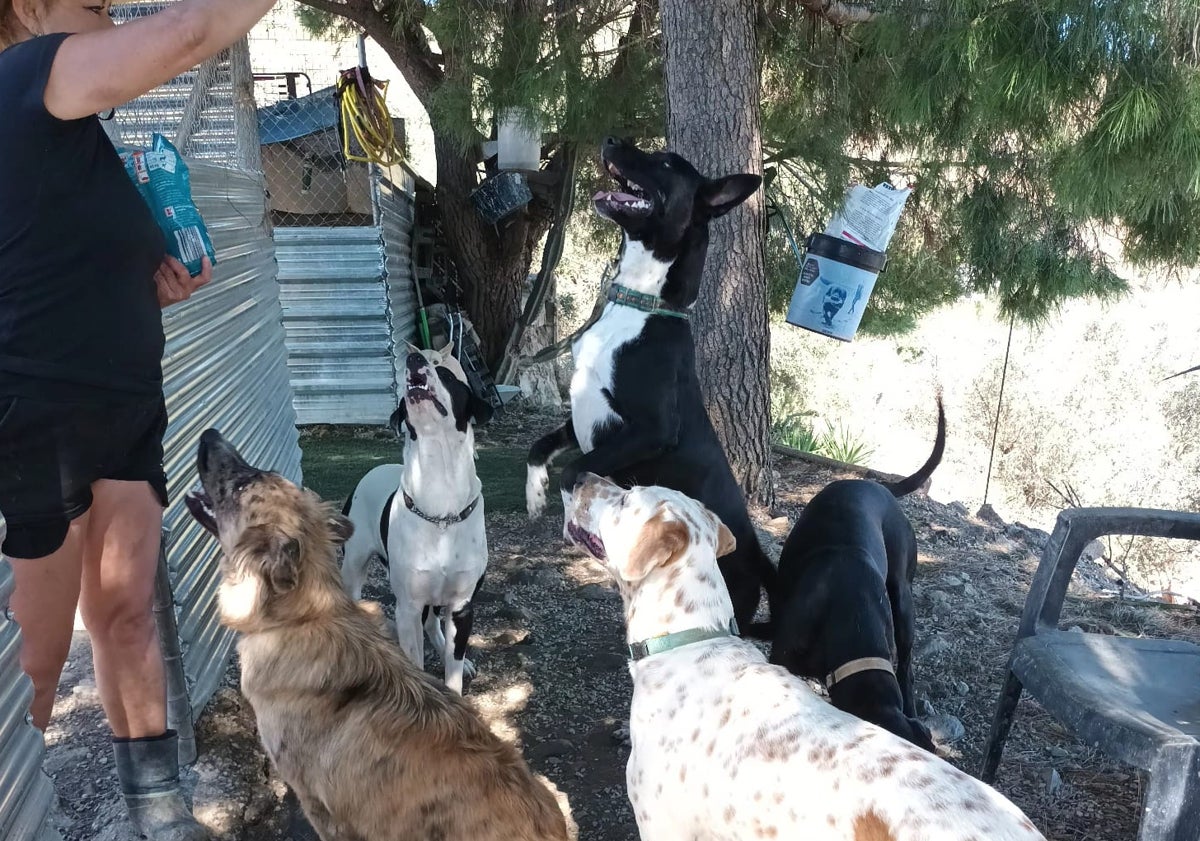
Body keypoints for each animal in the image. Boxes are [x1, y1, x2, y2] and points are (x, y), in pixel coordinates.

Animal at [338, 345, 492, 691]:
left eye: (446, 373)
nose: (413, 359)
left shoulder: (462, 606)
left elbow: (453, 665)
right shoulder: (407, 607)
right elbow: (415, 659)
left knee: (434, 623)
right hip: (353, 567)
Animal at [528, 137, 777, 628]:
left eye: (664, 163)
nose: (609, 140)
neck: (640, 305)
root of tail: (756, 553)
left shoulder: (649, 431)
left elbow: (574, 471)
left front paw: (574, 517)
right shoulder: (583, 413)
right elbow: (540, 447)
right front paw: (534, 493)